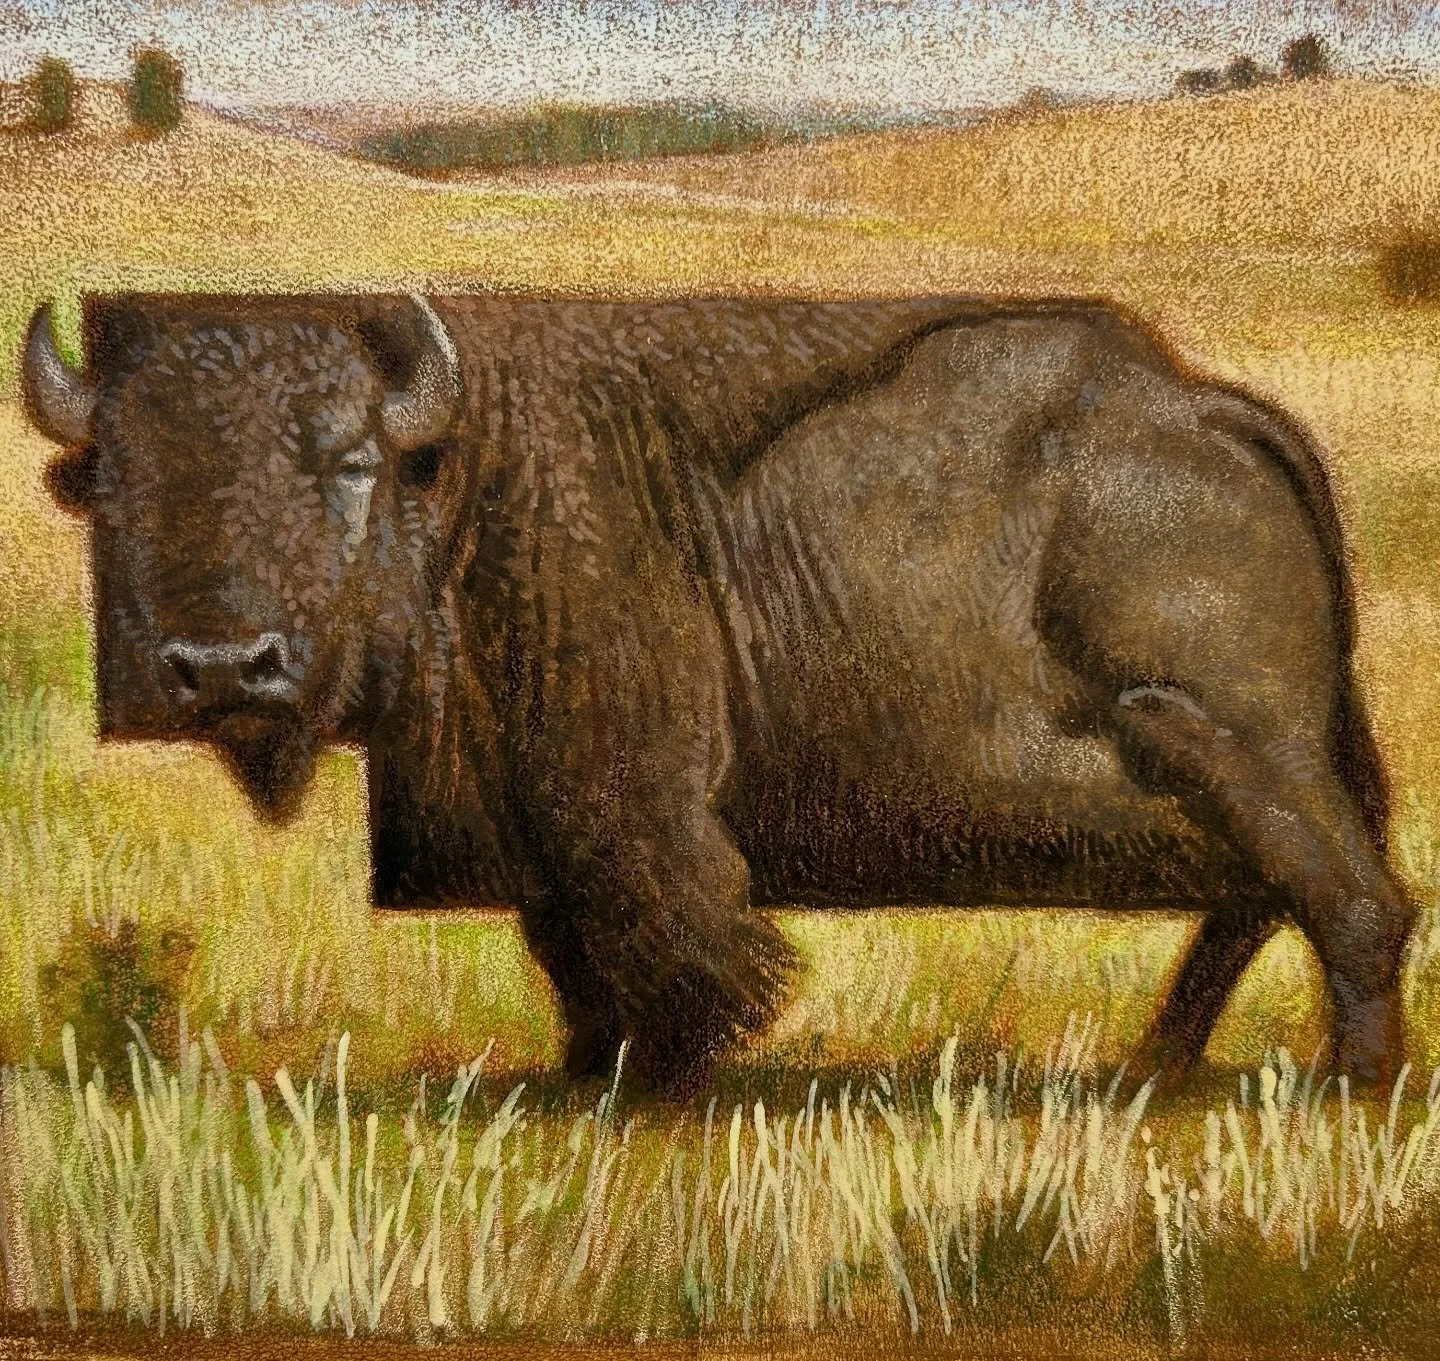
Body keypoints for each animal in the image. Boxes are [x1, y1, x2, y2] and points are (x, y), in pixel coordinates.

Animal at [22, 292, 1415, 1096]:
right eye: (120, 480)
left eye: (350, 463)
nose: (223, 665)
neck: (465, 480)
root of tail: (1219, 415)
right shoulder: (540, 834)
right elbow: (571, 949)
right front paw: (582, 1073)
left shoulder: (624, 806)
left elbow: (672, 936)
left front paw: (660, 1081)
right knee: (1266, 900)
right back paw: (1161, 1064)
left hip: (1226, 744)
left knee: (1354, 902)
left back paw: (1354, 1083)